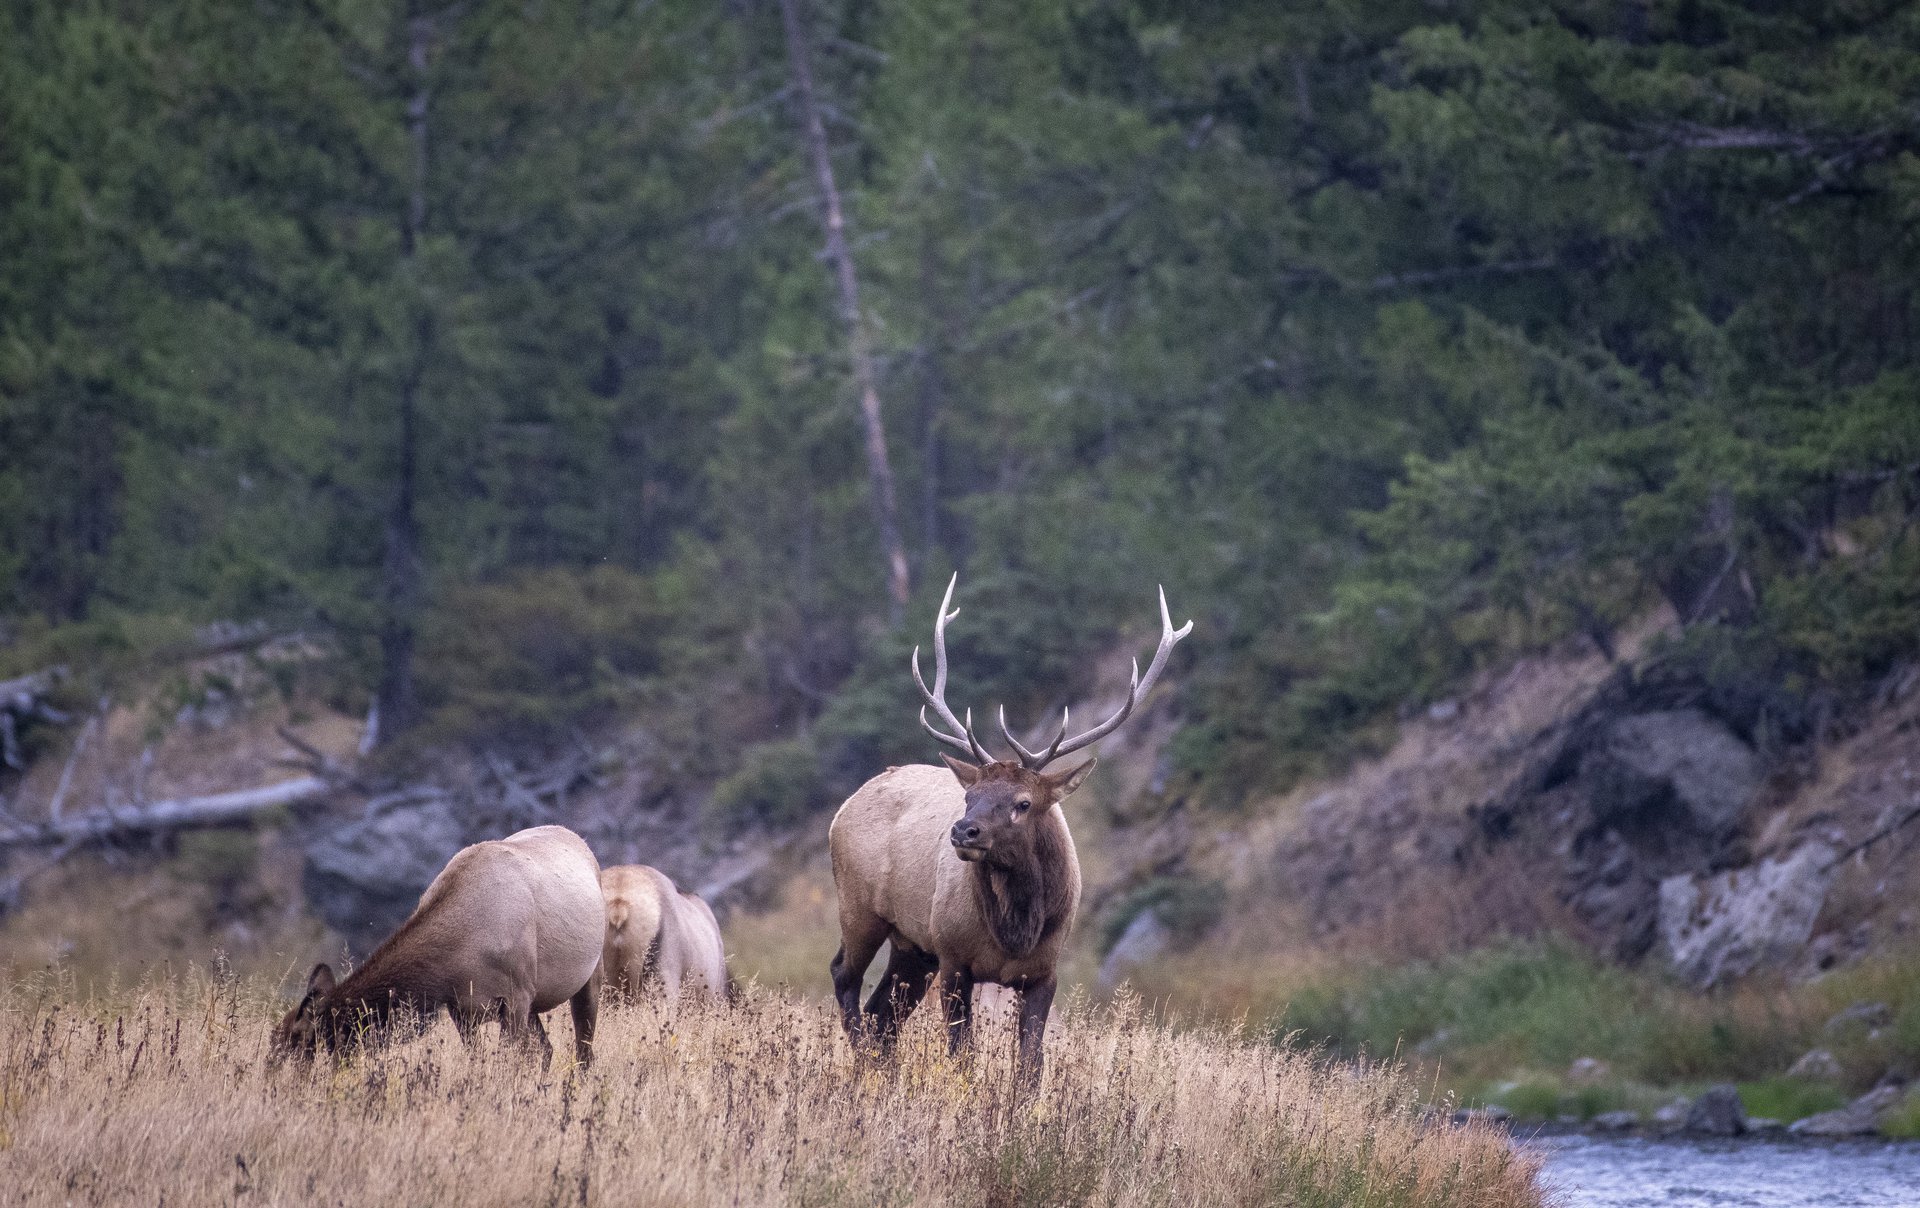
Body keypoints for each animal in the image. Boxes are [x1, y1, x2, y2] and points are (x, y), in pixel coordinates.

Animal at [271, 825, 605, 1069]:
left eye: (298, 1038)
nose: (276, 1076)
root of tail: (582, 842)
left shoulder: (517, 997)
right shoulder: (460, 1007)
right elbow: (479, 1061)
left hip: (588, 977)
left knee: (584, 1052)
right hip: (532, 1004)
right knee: (548, 1052)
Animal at [827, 574, 1190, 1089]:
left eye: (1023, 803)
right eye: (969, 796)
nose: (963, 831)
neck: (1015, 932)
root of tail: (844, 807)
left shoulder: (1044, 972)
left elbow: (1031, 1067)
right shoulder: (954, 959)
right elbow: (962, 1057)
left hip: (913, 946)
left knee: (884, 1014)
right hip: (861, 909)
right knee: (845, 977)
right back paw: (864, 1068)